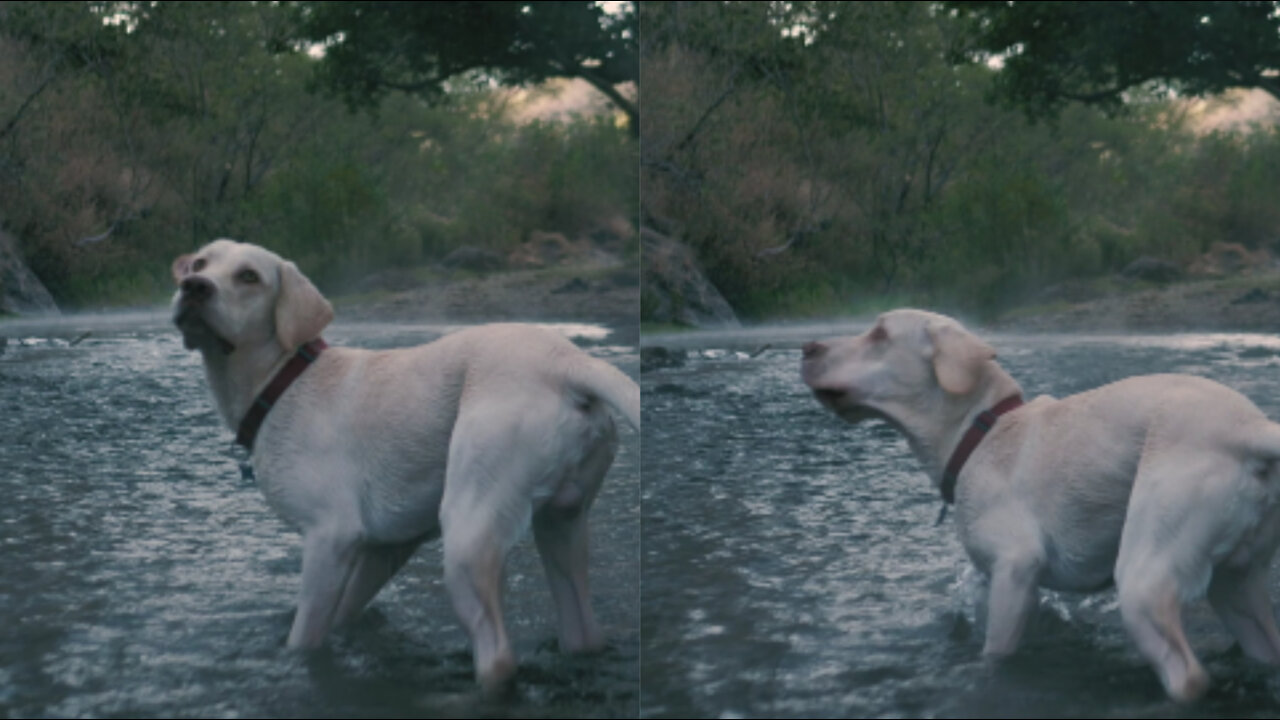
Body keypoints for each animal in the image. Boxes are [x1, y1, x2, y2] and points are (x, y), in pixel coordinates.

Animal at [170, 238, 640, 686]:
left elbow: (304, 636)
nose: (193, 287)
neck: (282, 381)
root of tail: (568, 363)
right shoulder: (385, 547)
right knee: (583, 632)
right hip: (562, 526)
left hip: (468, 532)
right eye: (199, 264)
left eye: (249, 276)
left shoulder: (330, 537)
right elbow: (344, 612)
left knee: (499, 658)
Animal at [798, 304, 1280, 696]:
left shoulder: (1015, 570)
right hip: (1236, 585)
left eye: (879, 334)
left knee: (1188, 677)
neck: (979, 432)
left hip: (1145, 577)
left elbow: (996, 653)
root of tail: (1250, 429)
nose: (806, 346)